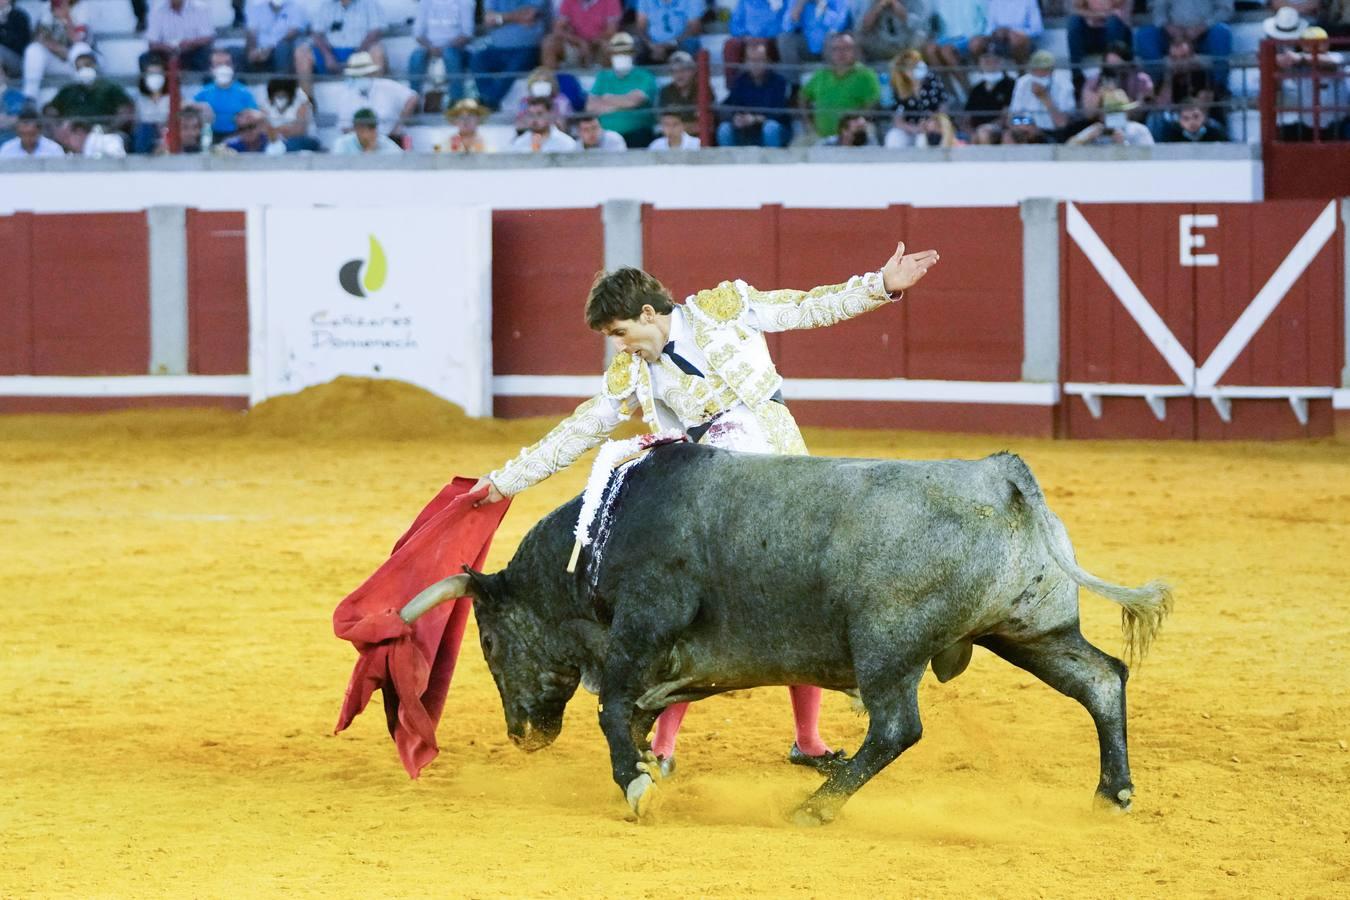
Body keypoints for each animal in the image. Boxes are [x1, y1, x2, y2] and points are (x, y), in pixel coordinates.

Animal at [399, 442, 1171, 825]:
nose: (521, 735)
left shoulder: (643, 628)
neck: (600, 539)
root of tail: (1000, 475)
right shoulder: (677, 662)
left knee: (896, 729)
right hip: (1032, 629)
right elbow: (639, 711)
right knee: (1101, 679)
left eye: (488, 643)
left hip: (887, 647)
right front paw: (650, 769)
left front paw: (638, 787)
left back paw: (814, 808)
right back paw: (1113, 794)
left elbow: (613, 709)